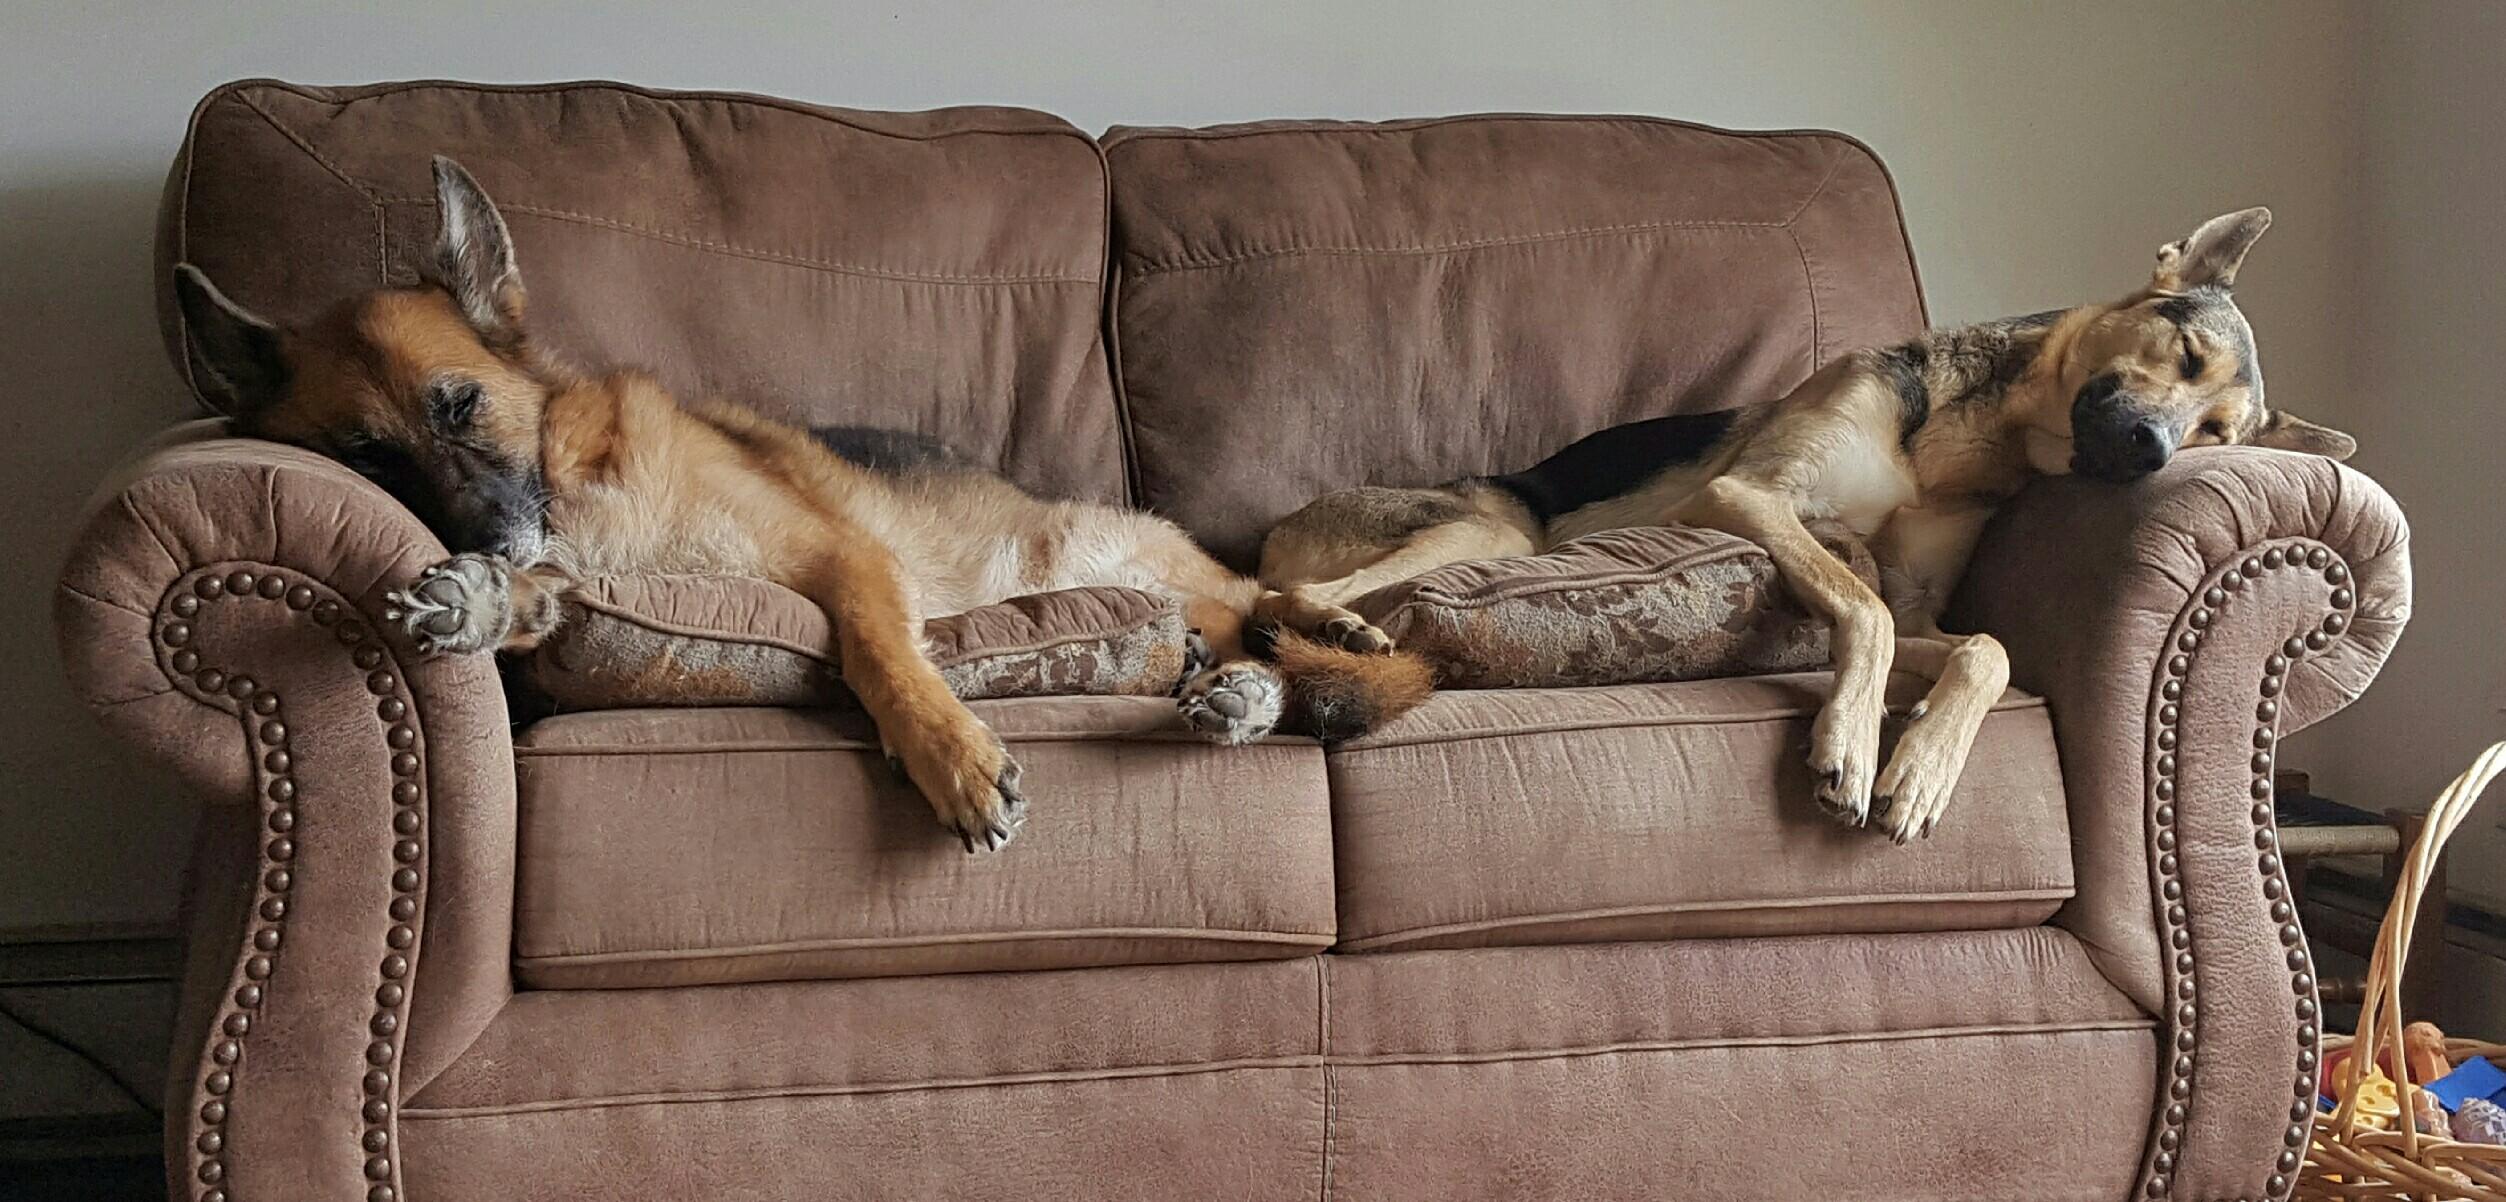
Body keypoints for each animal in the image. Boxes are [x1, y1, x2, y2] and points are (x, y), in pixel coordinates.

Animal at [170, 156, 1430, 852]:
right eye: (370, 460)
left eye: (462, 404)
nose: (484, 536)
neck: (584, 489)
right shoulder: (597, 577)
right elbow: (553, 598)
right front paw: (480, 596)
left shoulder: (839, 562)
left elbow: (880, 654)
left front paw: (951, 757)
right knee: (1242, 643)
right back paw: (1246, 692)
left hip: (1113, 552)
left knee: (1264, 594)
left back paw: (1326, 627)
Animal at [1256, 208, 2356, 842]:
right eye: (2183, 353)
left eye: (2219, 434)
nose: (2150, 453)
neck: (1962, 444)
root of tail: (1269, 531)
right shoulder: (1749, 498)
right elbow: (1856, 605)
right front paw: (1854, 747)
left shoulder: (1920, 608)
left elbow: (1984, 648)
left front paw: (1920, 768)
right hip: (1495, 535)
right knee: (1292, 592)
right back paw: (1339, 625)